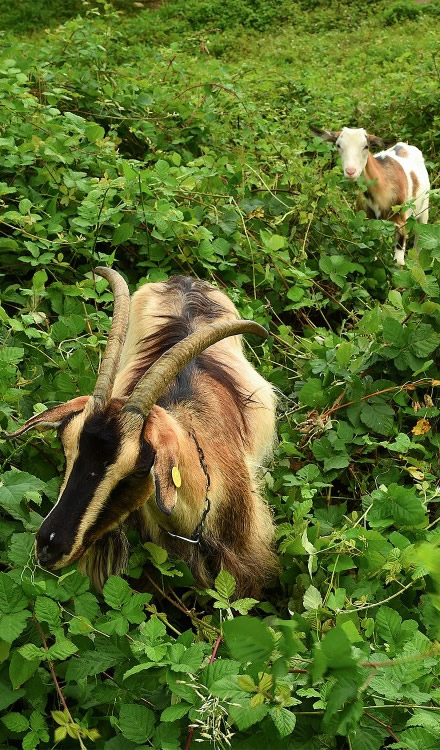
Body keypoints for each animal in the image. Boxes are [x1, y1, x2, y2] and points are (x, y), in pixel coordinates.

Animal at [312, 126, 430, 267]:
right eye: (338, 145)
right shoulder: (369, 223)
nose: (350, 171)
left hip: (424, 209)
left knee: (419, 241)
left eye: (366, 146)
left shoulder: (401, 223)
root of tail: (405, 145)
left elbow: (399, 263)